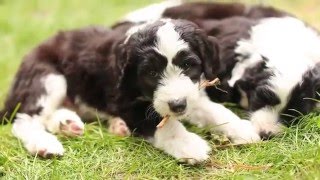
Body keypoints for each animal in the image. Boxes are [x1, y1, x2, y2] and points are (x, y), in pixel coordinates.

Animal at [0, 17, 260, 163]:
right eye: (151, 73)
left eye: (188, 65)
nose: (177, 106)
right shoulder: (125, 101)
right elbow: (163, 126)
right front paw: (189, 145)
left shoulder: (191, 92)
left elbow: (213, 110)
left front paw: (242, 128)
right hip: (47, 77)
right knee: (24, 119)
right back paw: (45, 144)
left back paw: (69, 124)